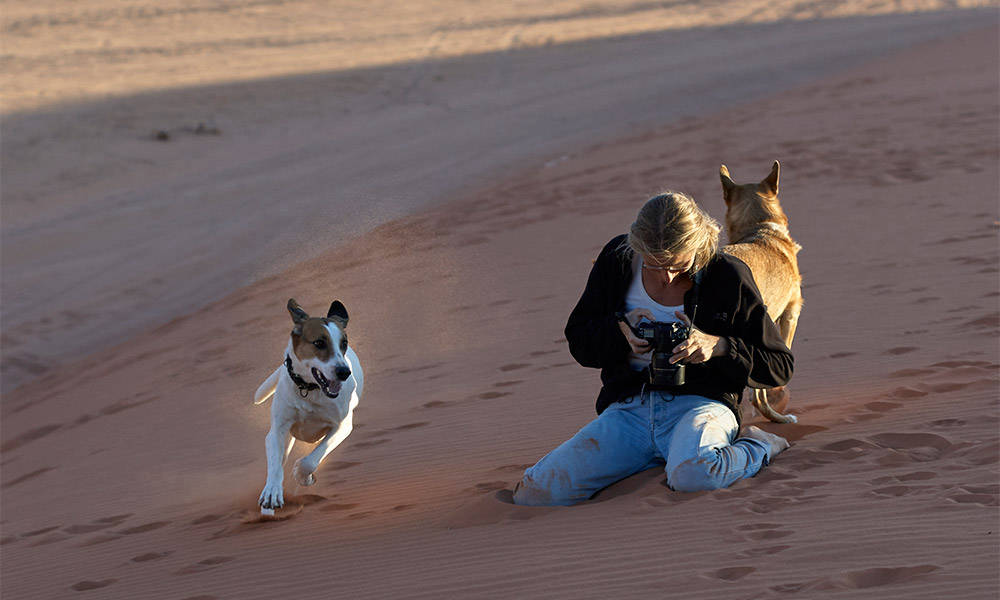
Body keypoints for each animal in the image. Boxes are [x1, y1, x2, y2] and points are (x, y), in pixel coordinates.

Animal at [254, 298, 364, 512]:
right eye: (319, 343)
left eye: (344, 343)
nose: (344, 372)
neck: (309, 389)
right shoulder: (277, 430)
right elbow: (275, 465)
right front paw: (271, 493)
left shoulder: (342, 426)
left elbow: (311, 460)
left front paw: (302, 475)